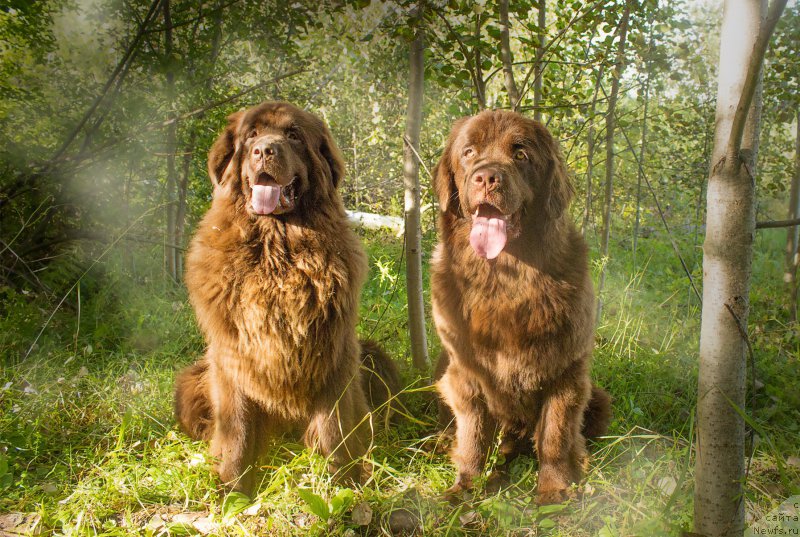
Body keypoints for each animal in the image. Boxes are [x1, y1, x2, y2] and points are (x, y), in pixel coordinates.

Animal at [177, 100, 398, 494]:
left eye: (293, 135)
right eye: (251, 134)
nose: (264, 150)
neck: (276, 250)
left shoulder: (333, 350)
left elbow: (334, 425)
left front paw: (343, 483)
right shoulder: (232, 358)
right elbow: (237, 429)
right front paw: (234, 490)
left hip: (376, 358)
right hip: (189, 383)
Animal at [432, 109, 612, 502]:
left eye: (520, 154)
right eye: (469, 152)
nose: (487, 177)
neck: (506, 279)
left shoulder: (566, 371)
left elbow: (554, 436)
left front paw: (554, 491)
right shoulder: (465, 373)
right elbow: (473, 436)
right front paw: (465, 487)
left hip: (598, 396)